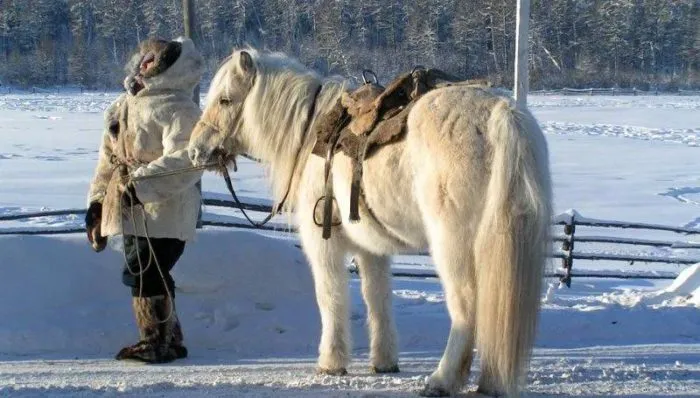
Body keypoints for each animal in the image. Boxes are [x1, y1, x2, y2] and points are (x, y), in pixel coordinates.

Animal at [187, 48, 552, 396]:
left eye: (224, 100)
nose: (195, 150)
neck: (310, 135)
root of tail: (502, 114)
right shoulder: (372, 249)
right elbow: (378, 299)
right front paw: (384, 362)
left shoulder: (324, 245)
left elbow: (331, 297)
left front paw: (331, 363)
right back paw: (491, 381)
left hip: (454, 246)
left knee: (467, 308)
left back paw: (442, 380)